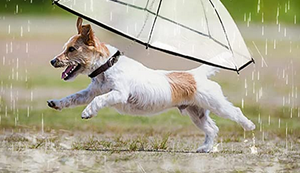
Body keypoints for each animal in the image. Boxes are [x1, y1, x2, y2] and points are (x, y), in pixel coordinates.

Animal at [47, 17, 255, 153]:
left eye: (71, 49)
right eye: (66, 47)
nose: (52, 61)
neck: (108, 67)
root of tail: (196, 74)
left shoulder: (118, 93)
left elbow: (99, 100)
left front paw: (87, 112)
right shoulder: (89, 93)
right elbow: (73, 97)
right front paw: (56, 103)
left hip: (217, 105)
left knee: (235, 112)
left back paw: (249, 125)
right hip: (196, 114)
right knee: (212, 129)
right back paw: (205, 148)